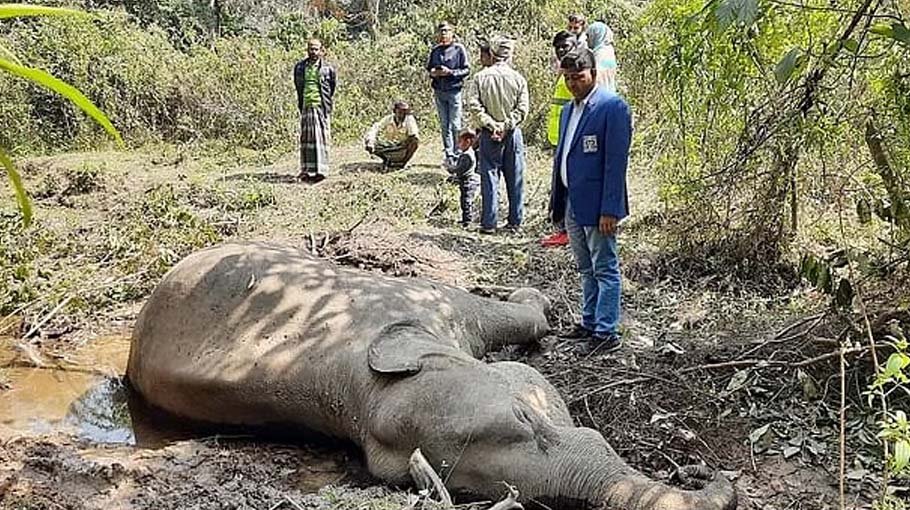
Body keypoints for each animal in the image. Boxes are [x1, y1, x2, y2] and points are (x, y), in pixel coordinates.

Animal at [127, 242, 736, 510]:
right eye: (471, 490)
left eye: (527, 417)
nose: (702, 474)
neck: (360, 393)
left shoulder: (411, 300)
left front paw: (539, 301)